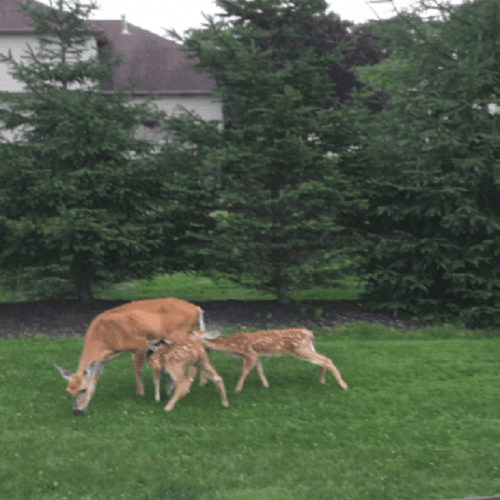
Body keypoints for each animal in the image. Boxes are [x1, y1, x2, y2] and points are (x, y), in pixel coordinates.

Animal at [54, 296, 203, 414]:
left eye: (82, 390)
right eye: (68, 391)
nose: (76, 412)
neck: (103, 339)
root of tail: (197, 308)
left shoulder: (139, 342)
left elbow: (137, 369)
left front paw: (140, 394)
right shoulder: (102, 360)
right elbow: (95, 378)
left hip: (178, 335)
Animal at [193, 328, 350, 394]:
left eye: (192, 333)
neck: (231, 346)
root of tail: (310, 333)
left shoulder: (249, 353)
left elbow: (244, 371)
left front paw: (237, 389)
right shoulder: (256, 355)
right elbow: (259, 370)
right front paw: (266, 385)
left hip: (301, 349)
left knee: (326, 360)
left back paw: (344, 386)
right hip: (307, 348)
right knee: (322, 360)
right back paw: (322, 381)